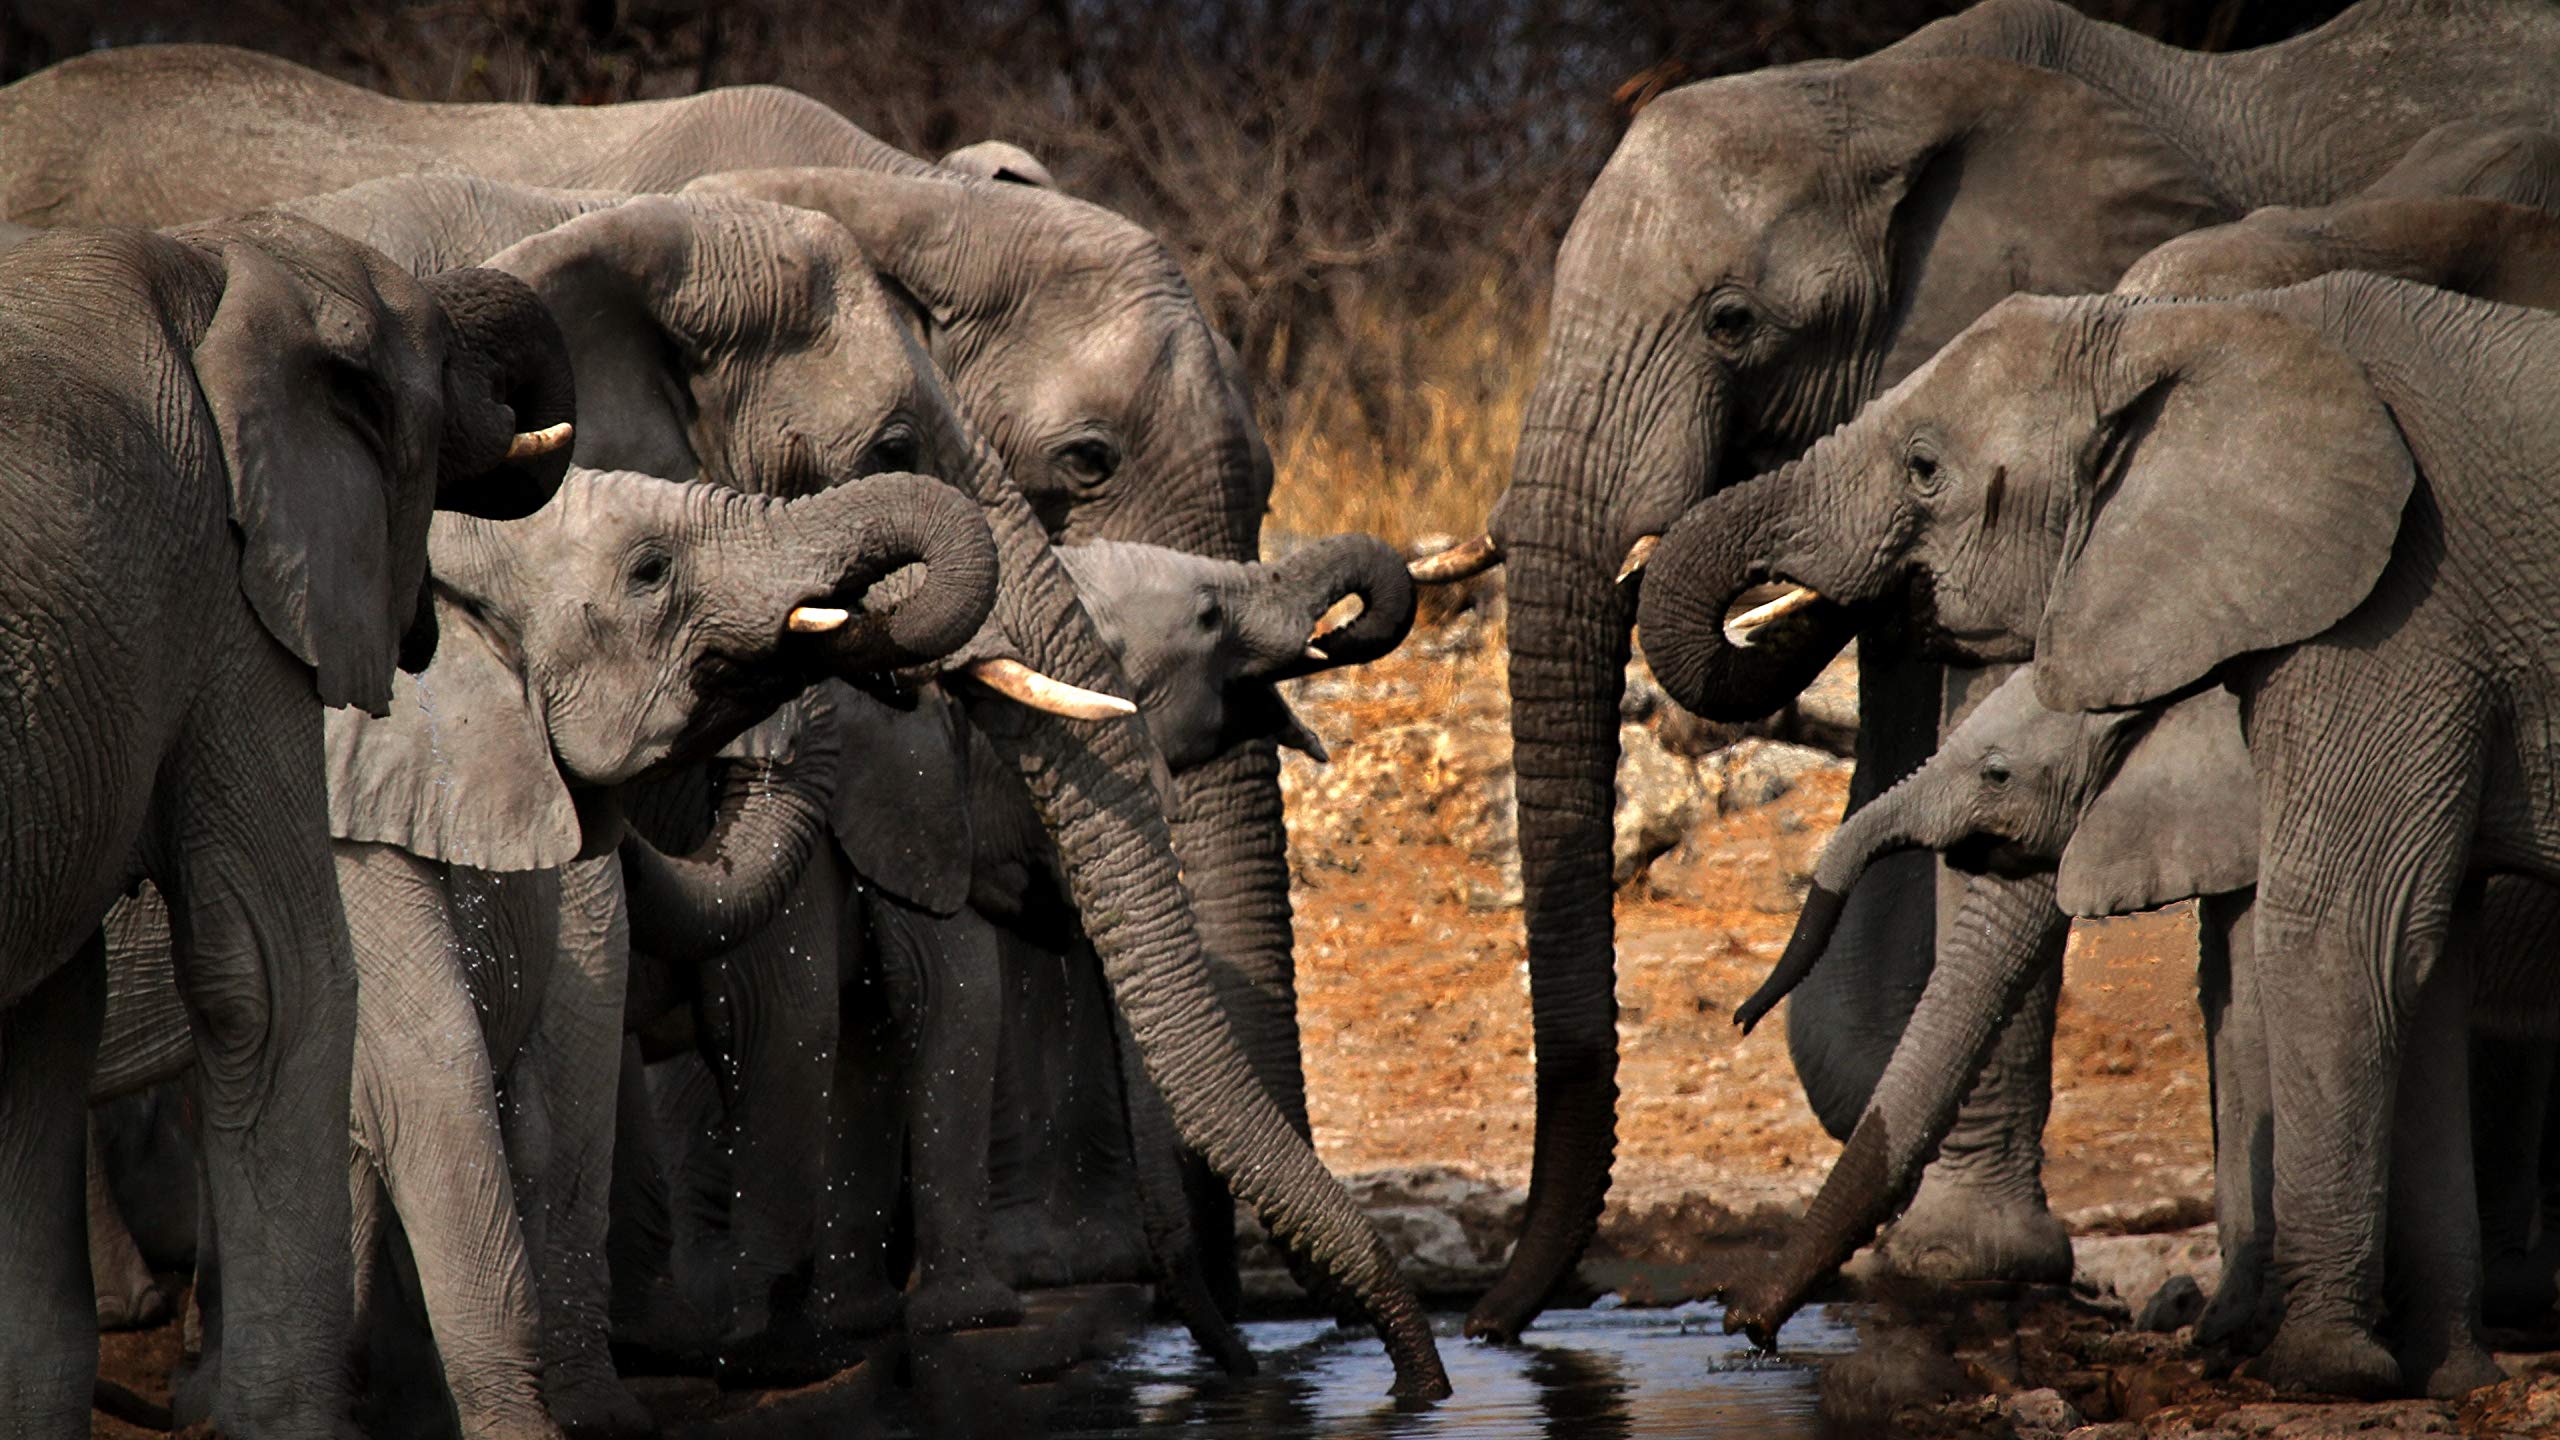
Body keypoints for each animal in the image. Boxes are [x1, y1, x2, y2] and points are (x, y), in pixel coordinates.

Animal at [1634, 270, 2560, 1397]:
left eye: (1925, 469)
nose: (1745, 1328)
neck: (2190, 328)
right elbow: (2408, 968)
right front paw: (2444, 1378)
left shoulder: (2398, 613)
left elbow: (2341, 936)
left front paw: (2317, 1370)